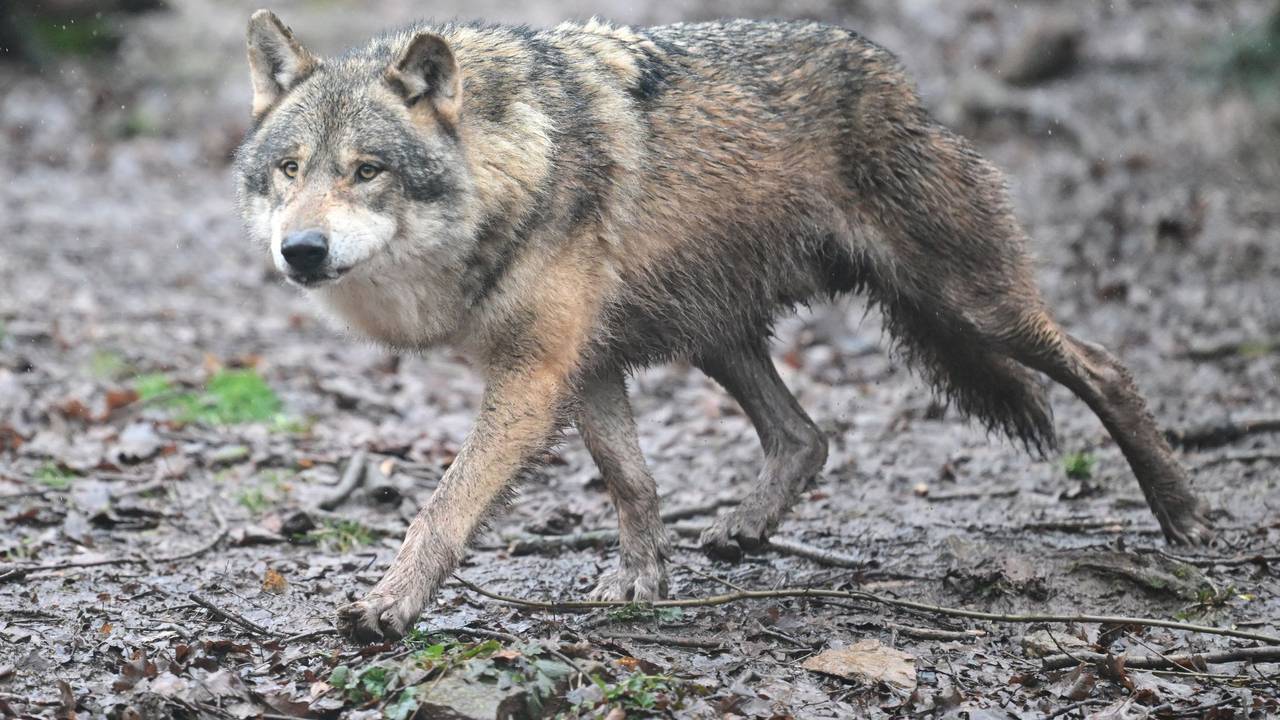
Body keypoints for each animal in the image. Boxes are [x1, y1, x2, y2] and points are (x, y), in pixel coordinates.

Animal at [234, 10, 1212, 642]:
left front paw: (388, 606)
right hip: (717, 335)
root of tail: (900, 80)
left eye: (366, 170)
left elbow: (442, 509)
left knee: (1105, 366)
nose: (301, 250)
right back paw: (743, 529)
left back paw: (1183, 516)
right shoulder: (584, 366)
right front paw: (641, 580)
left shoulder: (534, 376)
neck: (512, 164)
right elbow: (632, 481)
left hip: (970, 305)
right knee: (807, 436)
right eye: (289, 169)